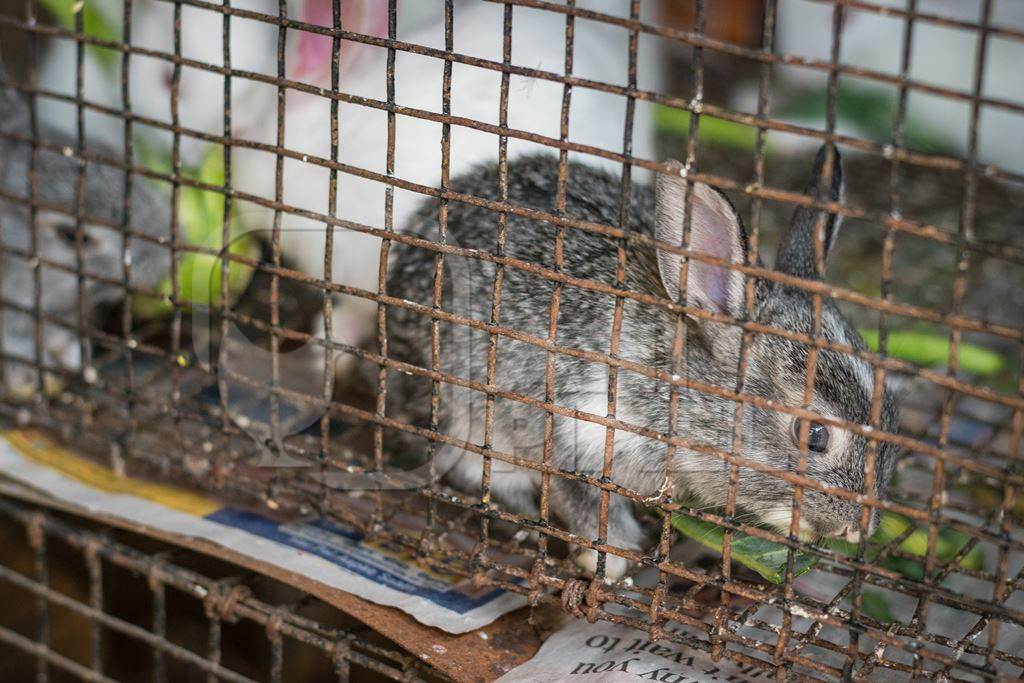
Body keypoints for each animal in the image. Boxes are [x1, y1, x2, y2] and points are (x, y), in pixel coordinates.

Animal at [385, 147, 897, 581]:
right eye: (813, 435)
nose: (858, 528)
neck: (676, 386)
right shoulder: (575, 434)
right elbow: (589, 508)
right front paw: (611, 561)